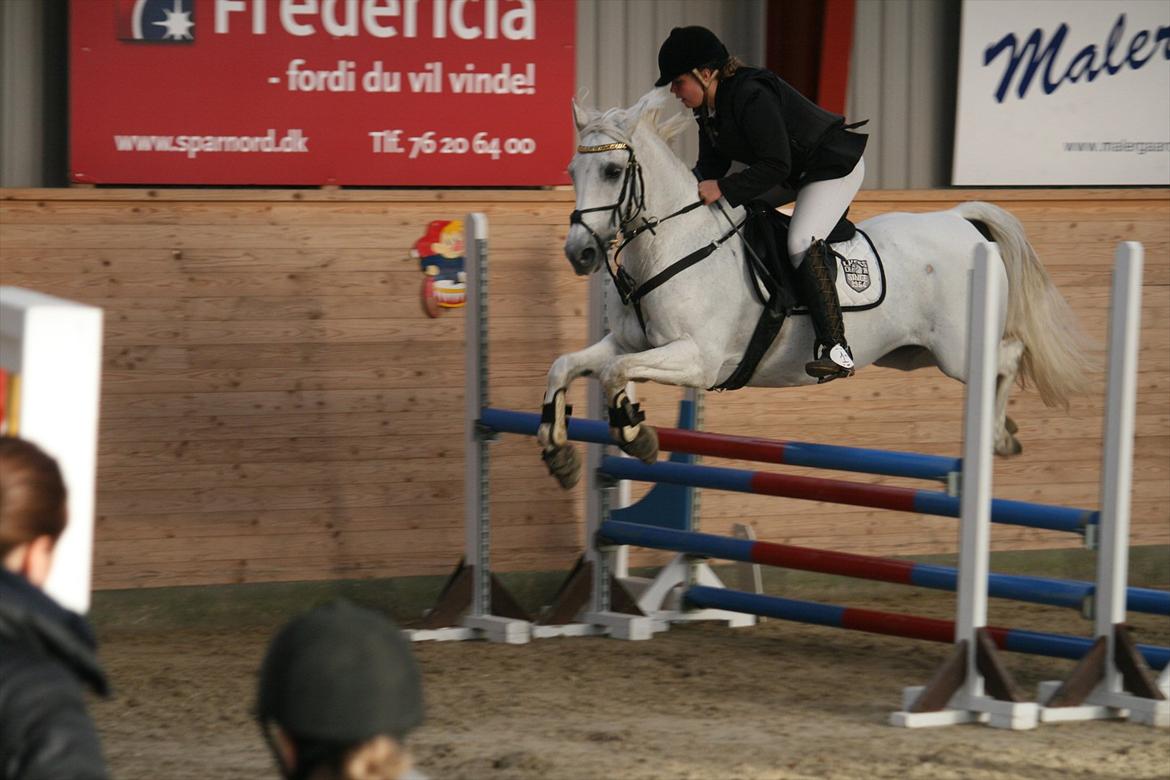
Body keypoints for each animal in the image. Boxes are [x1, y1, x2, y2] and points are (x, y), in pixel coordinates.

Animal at [537, 88, 1093, 489]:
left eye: (613, 171)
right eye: (571, 171)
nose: (579, 254)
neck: (675, 243)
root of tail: (959, 220)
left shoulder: (697, 359)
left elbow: (615, 373)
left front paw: (636, 434)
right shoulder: (630, 342)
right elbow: (568, 365)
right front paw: (557, 449)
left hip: (958, 353)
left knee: (1009, 357)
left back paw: (999, 435)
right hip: (915, 355)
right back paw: (1004, 433)